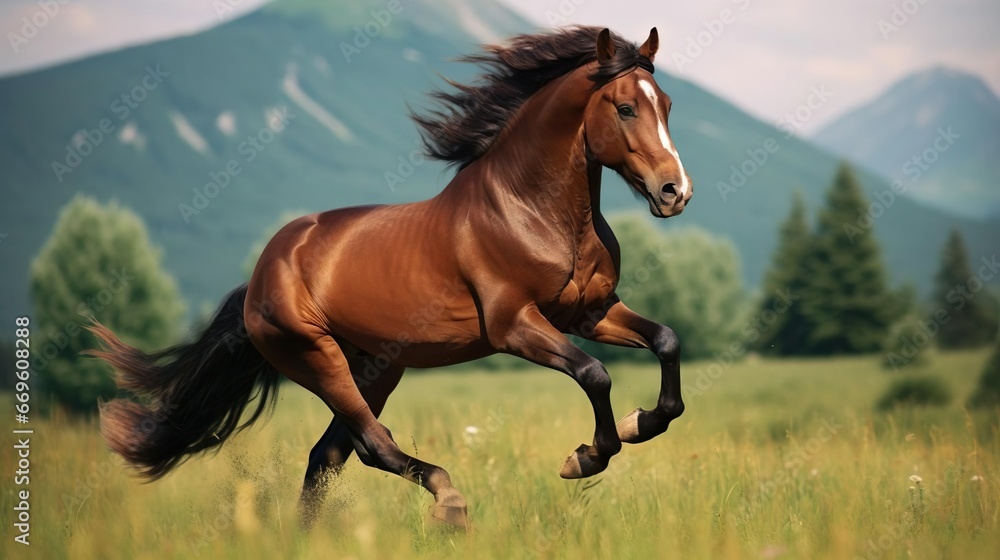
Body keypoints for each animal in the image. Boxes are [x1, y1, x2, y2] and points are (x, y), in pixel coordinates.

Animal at [88, 26, 693, 530]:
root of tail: (261, 274)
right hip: (316, 358)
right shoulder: (514, 326)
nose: (675, 192)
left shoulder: (589, 313)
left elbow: (666, 341)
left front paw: (641, 423)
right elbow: (594, 374)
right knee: (370, 445)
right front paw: (584, 457)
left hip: (377, 368)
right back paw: (450, 501)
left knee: (328, 456)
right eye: (624, 108)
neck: (533, 212)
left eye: (666, 105)